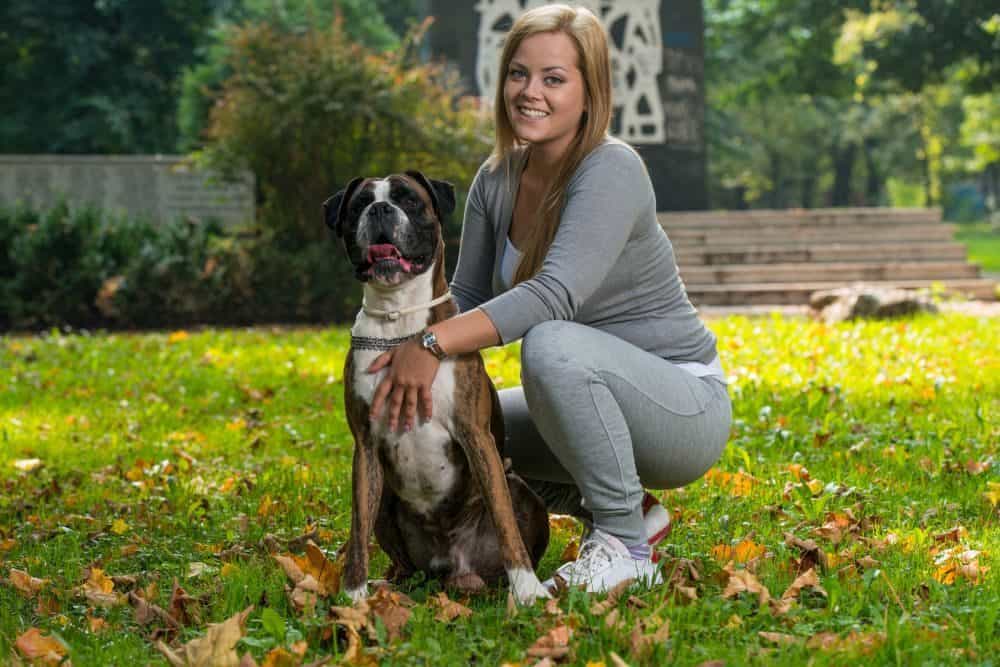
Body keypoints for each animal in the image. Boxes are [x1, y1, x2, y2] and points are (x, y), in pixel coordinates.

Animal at [324, 171, 552, 604]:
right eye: (360, 204)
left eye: (408, 200)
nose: (380, 209)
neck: (397, 322)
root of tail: (453, 570)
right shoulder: (365, 445)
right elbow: (357, 532)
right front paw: (353, 597)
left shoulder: (475, 435)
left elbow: (504, 520)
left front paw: (528, 590)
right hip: (387, 502)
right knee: (401, 562)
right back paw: (390, 585)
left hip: (522, 490)